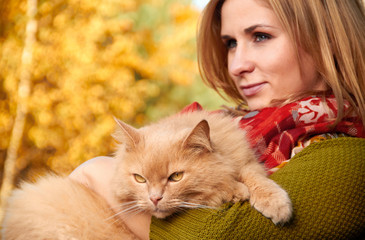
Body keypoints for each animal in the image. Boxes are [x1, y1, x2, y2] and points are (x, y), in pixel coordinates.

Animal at [2, 109, 292, 239]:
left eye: (175, 177)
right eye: (140, 179)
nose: (154, 198)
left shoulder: (246, 161)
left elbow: (257, 179)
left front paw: (276, 205)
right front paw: (234, 192)